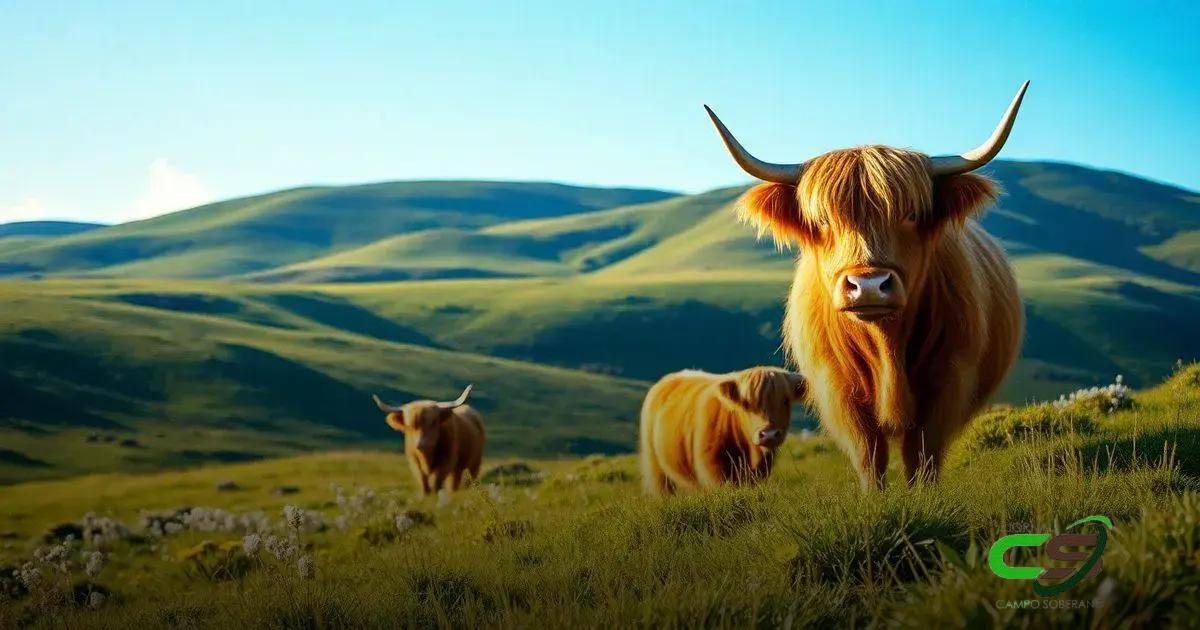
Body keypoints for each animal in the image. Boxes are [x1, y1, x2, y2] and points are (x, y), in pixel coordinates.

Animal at [704, 82, 1028, 490]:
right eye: (823, 220)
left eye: (911, 214)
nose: (869, 285)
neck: (886, 347)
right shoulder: (837, 387)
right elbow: (869, 454)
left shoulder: (949, 378)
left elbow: (922, 452)